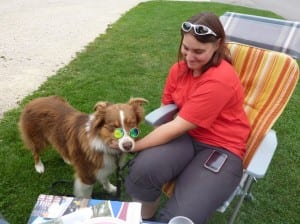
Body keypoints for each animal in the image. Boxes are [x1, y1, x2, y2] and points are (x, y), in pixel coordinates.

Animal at [18, 95, 148, 197]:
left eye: (132, 125)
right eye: (113, 127)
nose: (128, 146)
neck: (102, 142)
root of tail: (33, 100)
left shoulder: (104, 166)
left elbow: (105, 178)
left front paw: (110, 188)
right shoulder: (86, 175)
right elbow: (86, 195)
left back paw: (67, 158)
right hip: (38, 139)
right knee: (35, 152)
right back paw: (39, 166)